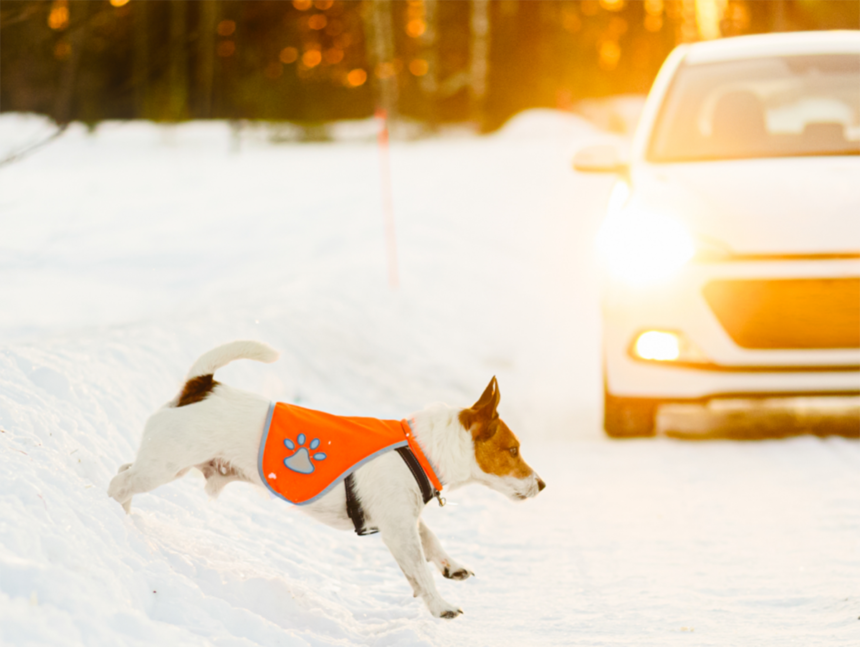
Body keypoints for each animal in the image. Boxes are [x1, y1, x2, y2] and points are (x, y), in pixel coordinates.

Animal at [109, 342, 544, 620]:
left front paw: (450, 567)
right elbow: (419, 567)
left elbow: (430, 542)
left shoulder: (403, 519)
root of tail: (201, 386)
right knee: (119, 484)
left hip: (163, 463)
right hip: (164, 466)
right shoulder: (397, 527)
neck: (421, 447)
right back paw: (112, 513)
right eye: (513, 449)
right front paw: (440, 605)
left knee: (122, 472)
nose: (542, 485)